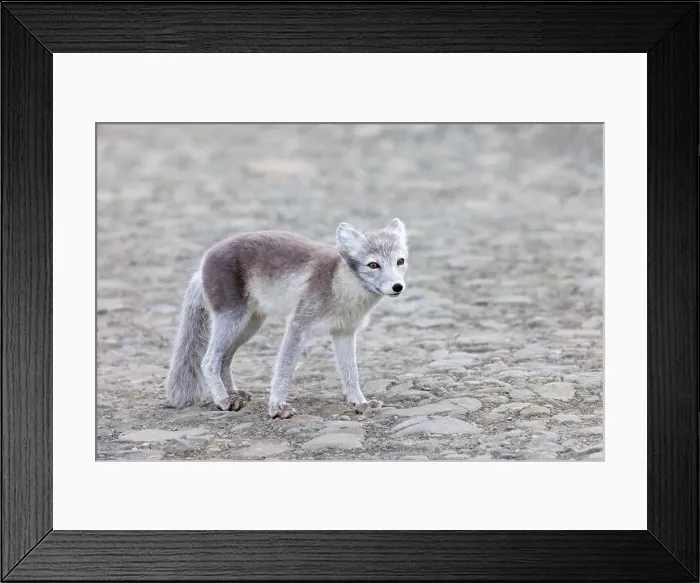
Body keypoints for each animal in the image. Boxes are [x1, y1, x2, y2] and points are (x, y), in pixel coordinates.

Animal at [164, 218, 409, 419]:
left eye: (400, 261)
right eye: (373, 265)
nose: (398, 287)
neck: (341, 287)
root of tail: (202, 264)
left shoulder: (345, 332)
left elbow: (351, 373)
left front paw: (360, 403)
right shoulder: (299, 324)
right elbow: (285, 368)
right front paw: (277, 407)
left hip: (249, 326)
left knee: (225, 358)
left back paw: (233, 394)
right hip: (231, 320)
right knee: (208, 361)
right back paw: (224, 400)